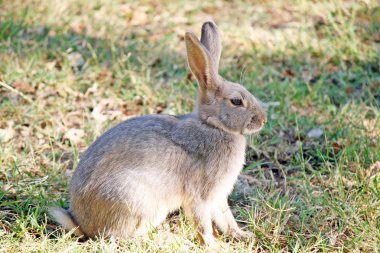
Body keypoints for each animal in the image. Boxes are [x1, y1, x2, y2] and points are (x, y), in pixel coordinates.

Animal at [49, 20, 266, 246]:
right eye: (236, 101)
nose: (263, 119)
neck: (213, 125)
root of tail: (83, 224)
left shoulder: (218, 196)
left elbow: (226, 218)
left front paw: (242, 235)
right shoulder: (200, 194)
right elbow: (202, 222)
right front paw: (212, 245)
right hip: (138, 202)